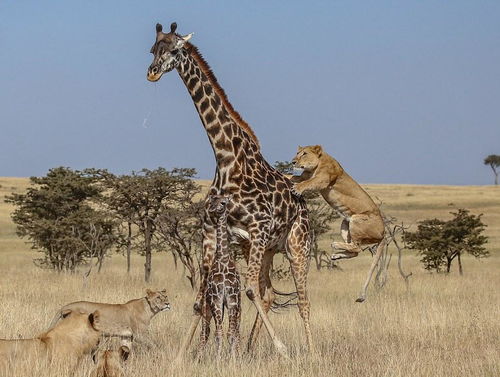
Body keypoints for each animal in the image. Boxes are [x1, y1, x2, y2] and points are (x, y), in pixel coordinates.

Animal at [198, 195, 241, 356]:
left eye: (223, 202)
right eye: (212, 200)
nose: (212, 209)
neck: (223, 258)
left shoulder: (232, 299)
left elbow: (231, 333)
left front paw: (232, 358)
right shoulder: (216, 299)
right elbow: (219, 333)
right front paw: (219, 358)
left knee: (233, 331)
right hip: (214, 306)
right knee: (208, 332)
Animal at [292, 145, 384, 302]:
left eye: (304, 154)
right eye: (297, 153)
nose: (292, 162)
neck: (317, 164)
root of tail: (384, 232)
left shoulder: (322, 180)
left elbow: (307, 183)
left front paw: (297, 188)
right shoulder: (304, 175)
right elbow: (292, 177)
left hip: (356, 219)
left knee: (357, 247)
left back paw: (335, 245)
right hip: (345, 223)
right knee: (355, 251)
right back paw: (336, 255)